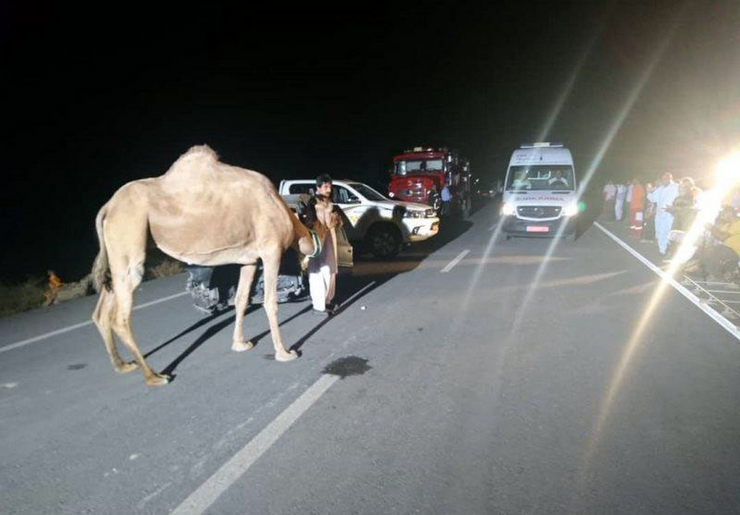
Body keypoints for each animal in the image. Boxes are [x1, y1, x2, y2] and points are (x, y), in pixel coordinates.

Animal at [91, 145, 326, 388]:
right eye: (320, 214)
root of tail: (108, 207)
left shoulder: (249, 259)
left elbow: (241, 299)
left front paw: (240, 344)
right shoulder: (271, 250)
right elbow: (270, 302)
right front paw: (284, 353)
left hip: (117, 255)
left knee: (102, 312)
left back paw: (123, 365)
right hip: (129, 237)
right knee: (120, 317)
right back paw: (154, 376)